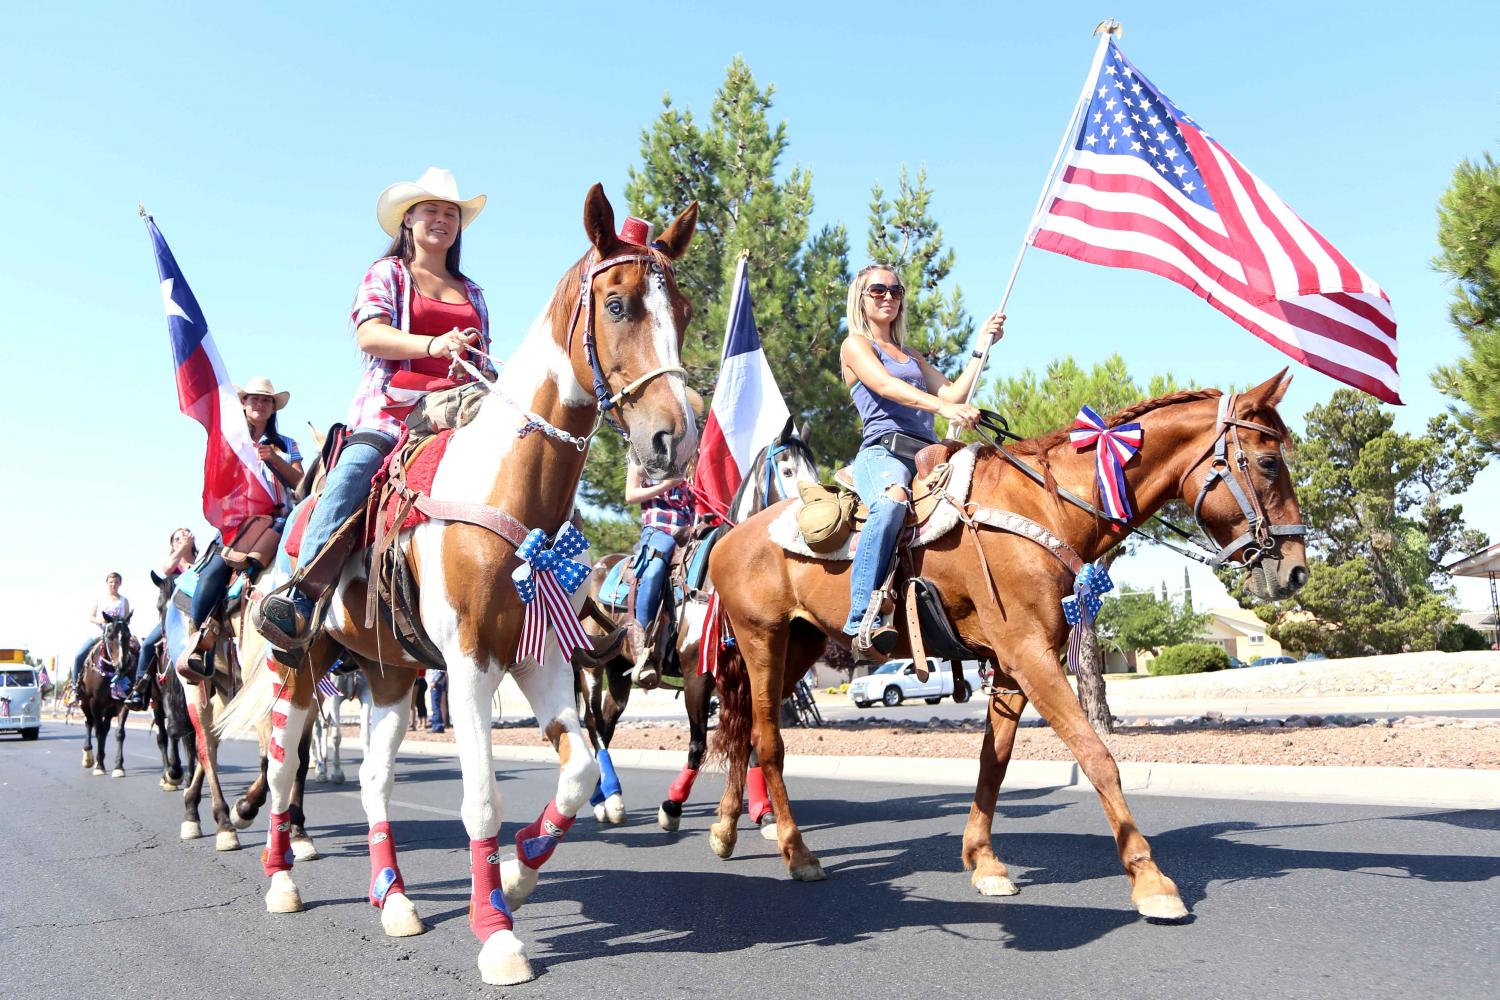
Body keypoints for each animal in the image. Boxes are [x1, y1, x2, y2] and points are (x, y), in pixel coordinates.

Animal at [78, 611, 137, 779]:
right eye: (109, 634)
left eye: (128, 634)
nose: (122, 666)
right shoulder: (94, 702)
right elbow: (97, 731)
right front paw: (99, 766)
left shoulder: (122, 702)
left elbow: (119, 733)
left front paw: (118, 767)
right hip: (85, 703)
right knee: (89, 723)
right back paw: (89, 758)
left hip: (109, 710)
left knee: (104, 729)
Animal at [219, 183, 702, 989]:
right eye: (619, 305)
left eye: (688, 310)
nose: (679, 438)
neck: (508, 489)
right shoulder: (472, 662)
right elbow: (481, 799)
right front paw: (497, 933)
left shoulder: (541, 657)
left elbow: (575, 771)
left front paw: (518, 873)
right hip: (302, 663)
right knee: (283, 768)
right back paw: (282, 878)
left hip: (389, 673)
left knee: (373, 780)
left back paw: (393, 898)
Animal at [567, 413, 822, 827]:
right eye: (787, 470)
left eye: (816, 471)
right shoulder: (696, 675)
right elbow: (698, 743)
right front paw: (671, 806)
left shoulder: (748, 674)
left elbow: (750, 743)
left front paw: (764, 812)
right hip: (590, 668)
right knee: (593, 725)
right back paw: (612, 800)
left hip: (618, 673)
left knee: (605, 721)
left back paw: (601, 798)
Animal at [699, 374, 1302, 923]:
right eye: (1268, 463)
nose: (1295, 571)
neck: (1048, 504)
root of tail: (729, 535)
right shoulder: (1029, 654)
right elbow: (1097, 757)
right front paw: (1151, 882)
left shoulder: (1015, 665)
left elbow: (996, 761)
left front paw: (984, 862)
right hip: (762, 639)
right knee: (767, 741)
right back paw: (797, 853)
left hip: (798, 643)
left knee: (741, 730)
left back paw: (724, 830)